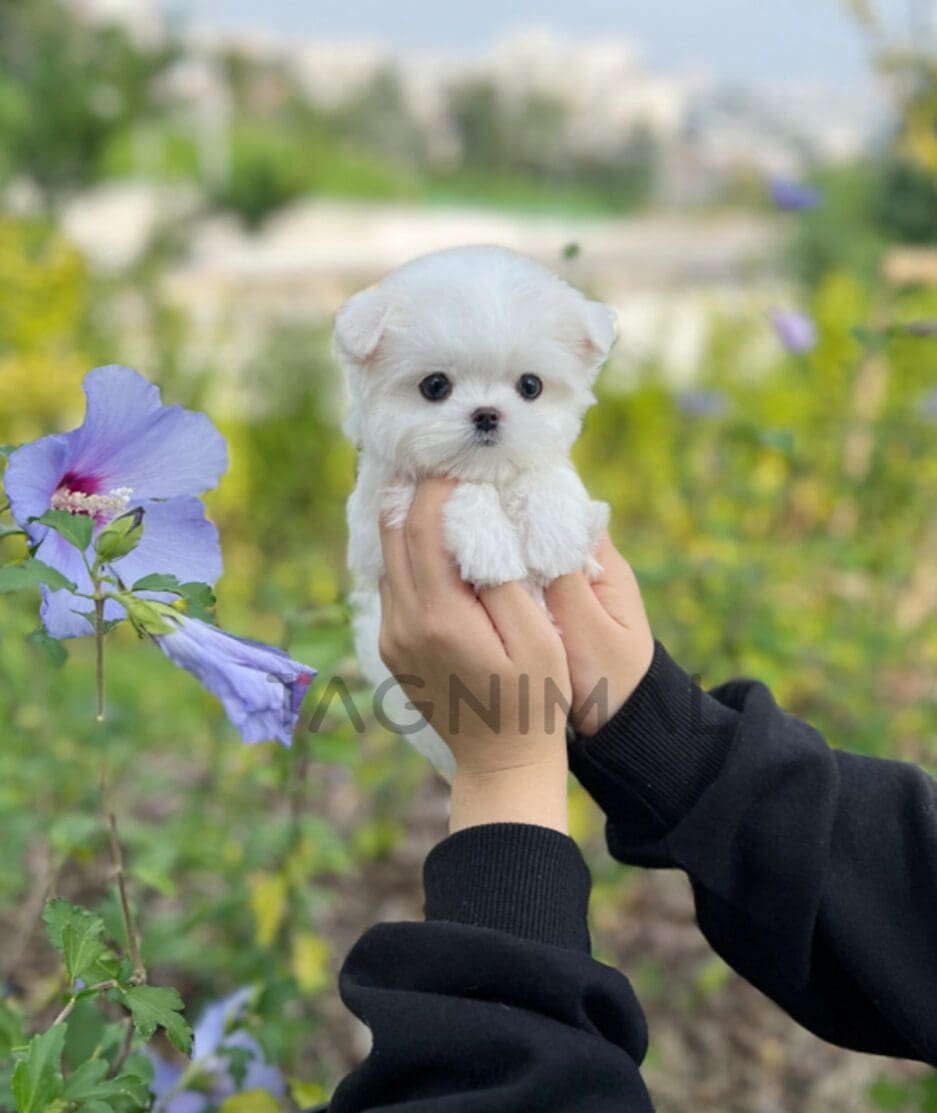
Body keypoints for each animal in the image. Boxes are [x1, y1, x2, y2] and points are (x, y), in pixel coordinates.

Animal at [333, 243, 614, 783]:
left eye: (530, 386)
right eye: (434, 386)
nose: (487, 413)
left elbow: (542, 475)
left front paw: (555, 531)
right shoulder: (385, 506)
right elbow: (461, 491)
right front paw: (490, 546)